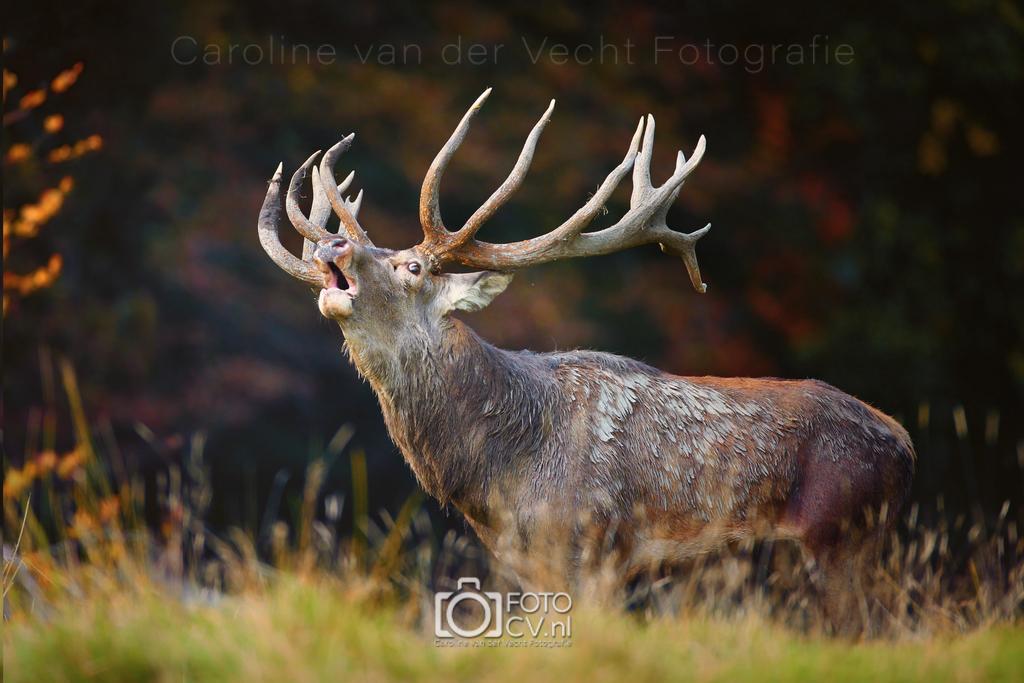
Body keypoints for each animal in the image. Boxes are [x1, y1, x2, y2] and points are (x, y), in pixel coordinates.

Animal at [257, 89, 915, 626]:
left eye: (412, 267)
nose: (334, 245)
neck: (501, 473)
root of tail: (905, 445)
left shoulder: (593, 548)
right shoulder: (525, 565)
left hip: (840, 539)